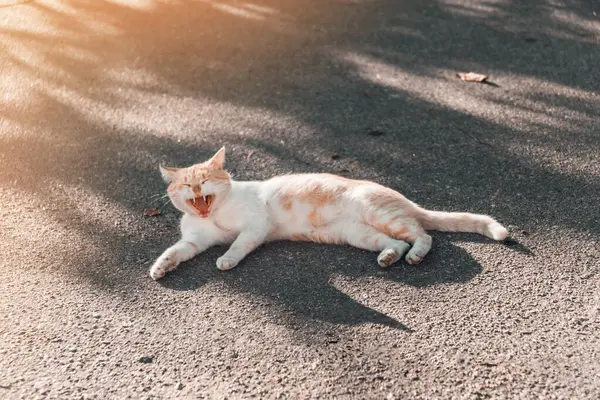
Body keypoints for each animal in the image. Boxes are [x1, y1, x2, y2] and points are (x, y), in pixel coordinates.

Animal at [149, 147, 506, 282]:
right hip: (360, 234)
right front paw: (160, 267)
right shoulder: (195, 242)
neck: (213, 216)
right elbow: (175, 251)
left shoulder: (255, 226)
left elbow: (237, 245)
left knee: (423, 235)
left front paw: (226, 259)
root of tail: (403, 198)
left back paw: (415, 255)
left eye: (205, 179)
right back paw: (389, 257)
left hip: (379, 213)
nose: (197, 187)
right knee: (397, 242)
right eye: (186, 183)